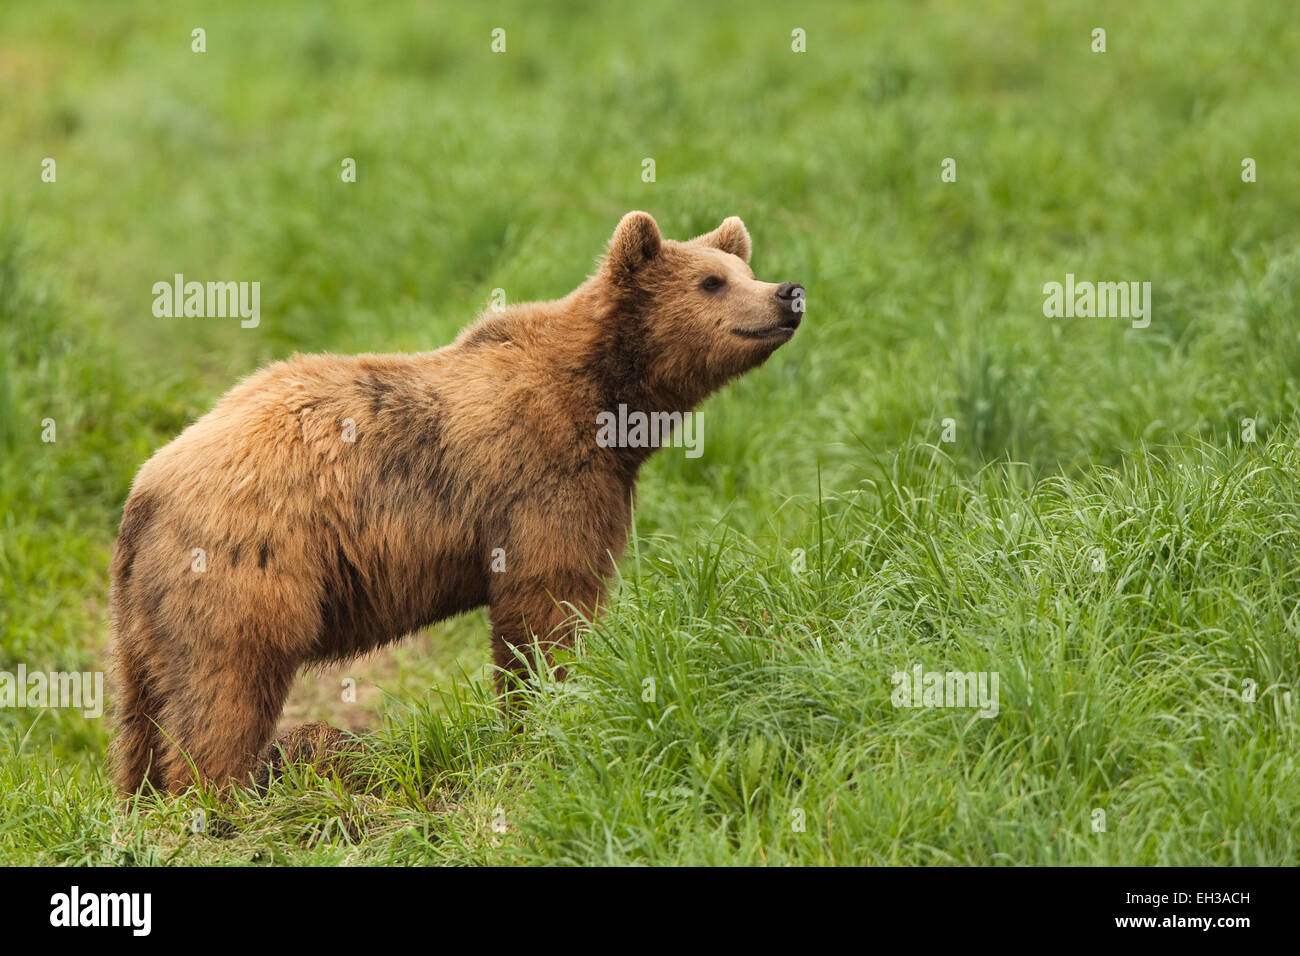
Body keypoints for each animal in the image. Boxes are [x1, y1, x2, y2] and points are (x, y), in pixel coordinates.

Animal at [109, 211, 804, 794]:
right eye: (712, 281)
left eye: (746, 269)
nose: (788, 293)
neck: (605, 403)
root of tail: (147, 486)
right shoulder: (541, 483)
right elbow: (547, 605)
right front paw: (548, 713)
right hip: (248, 564)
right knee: (225, 686)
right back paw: (221, 798)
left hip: (145, 609)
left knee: (146, 709)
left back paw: (143, 797)